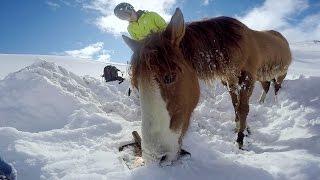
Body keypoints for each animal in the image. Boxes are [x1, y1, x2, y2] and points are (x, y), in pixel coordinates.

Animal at [122, 7, 292, 164]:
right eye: (136, 85)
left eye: (169, 77)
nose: (154, 158)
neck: (234, 44)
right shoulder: (230, 79)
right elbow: (235, 105)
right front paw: (239, 127)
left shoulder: (247, 79)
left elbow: (243, 108)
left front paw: (240, 139)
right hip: (263, 76)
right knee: (267, 86)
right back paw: (262, 102)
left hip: (280, 74)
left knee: (276, 87)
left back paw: (275, 103)